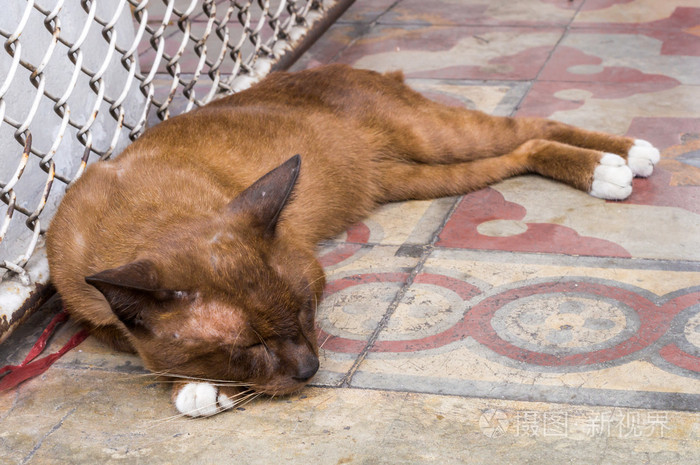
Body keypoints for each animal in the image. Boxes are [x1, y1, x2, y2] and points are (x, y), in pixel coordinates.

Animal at [46, 62, 660, 416]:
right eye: (248, 347)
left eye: (308, 309)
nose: (310, 373)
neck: (143, 215)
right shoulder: (88, 315)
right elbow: (137, 348)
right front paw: (194, 387)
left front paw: (202, 389)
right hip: (420, 177)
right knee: (520, 153)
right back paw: (612, 165)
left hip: (439, 140)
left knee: (534, 128)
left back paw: (621, 160)